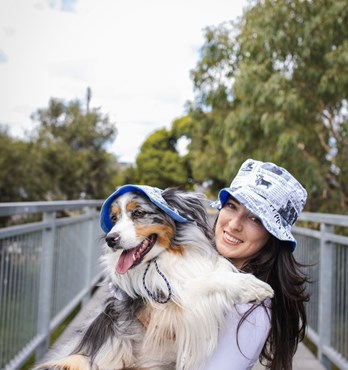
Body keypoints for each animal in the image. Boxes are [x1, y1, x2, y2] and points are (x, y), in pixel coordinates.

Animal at [36, 185, 274, 370]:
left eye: (138, 213)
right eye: (113, 218)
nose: (110, 239)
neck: (163, 259)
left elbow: (216, 269)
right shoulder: (169, 305)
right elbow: (200, 283)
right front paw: (251, 286)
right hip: (76, 360)